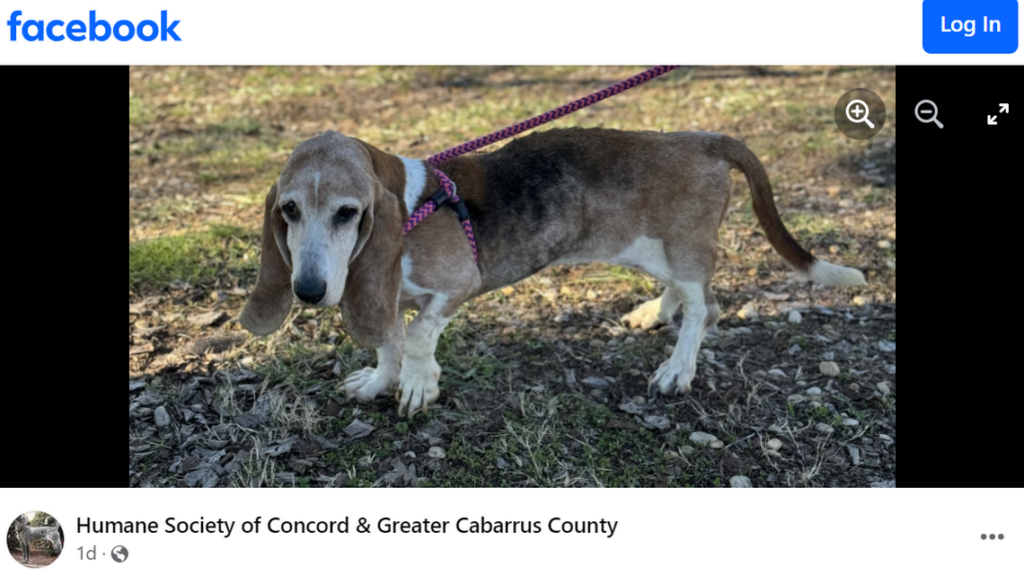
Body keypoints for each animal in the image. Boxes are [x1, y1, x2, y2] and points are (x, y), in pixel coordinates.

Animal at [239, 126, 864, 412]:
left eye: (348, 213)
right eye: (288, 210)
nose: (309, 291)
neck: (414, 210)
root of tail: (699, 140)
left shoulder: (454, 289)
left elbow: (415, 338)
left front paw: (418, 385)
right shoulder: (385, 294)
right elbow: (390, 341)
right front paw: (379, 382)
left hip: (684, 250)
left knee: (705, 309)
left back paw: (676, 370)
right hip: (649, 249)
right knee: (683, 297)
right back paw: (651, 312)